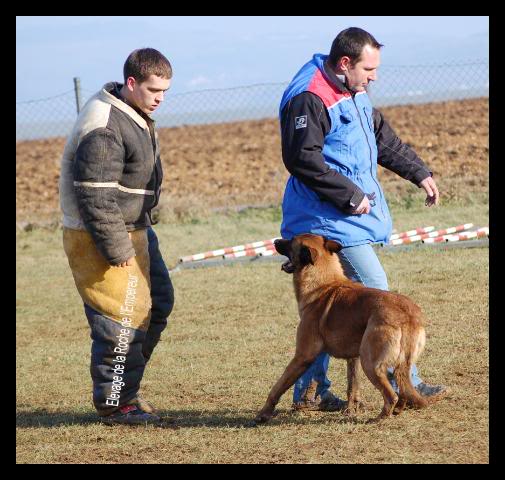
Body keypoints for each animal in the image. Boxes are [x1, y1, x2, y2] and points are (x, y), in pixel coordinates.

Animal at [254, 233, 442, 424]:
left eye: (291, 241)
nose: (275, 241)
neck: (324, 284)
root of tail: (407, 316)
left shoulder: (302, 357)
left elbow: (278, 387)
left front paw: (263, 413)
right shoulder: (353, 357)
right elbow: (352, 386)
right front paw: (351, 409)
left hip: (371, 363)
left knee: (391, 395)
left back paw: (379, 418)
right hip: (391, 363)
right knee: (401, 390)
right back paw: (397, 409)